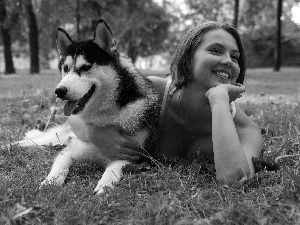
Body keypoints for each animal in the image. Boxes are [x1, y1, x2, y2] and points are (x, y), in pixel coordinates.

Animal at [17, 19, 159, 194]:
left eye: (85, 67)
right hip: (56, 137)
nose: (59, 91)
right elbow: (59, 167)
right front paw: (50, 182)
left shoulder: (132, 156)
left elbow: (114, 169)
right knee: (33, 141)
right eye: (65, 68)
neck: (103, 115)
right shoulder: (69, 151)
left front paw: (105, 184)